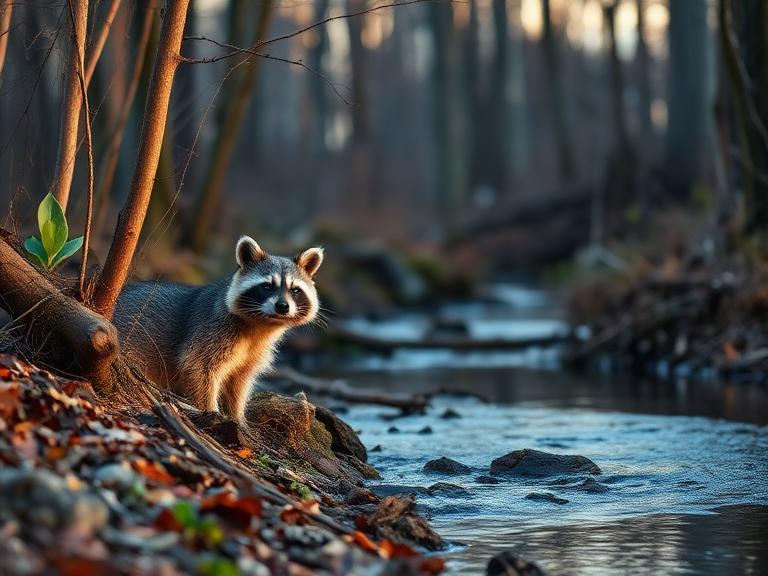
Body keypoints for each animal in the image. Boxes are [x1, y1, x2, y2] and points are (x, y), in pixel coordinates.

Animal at [113, 236, 323, 422]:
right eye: (267, 286)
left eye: (295, 290)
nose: (282, 306)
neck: (260, 326)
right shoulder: (210, 330)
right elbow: (198, 369)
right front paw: (211, 410)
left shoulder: (256, 351)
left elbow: (239, 382)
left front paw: (238, 416)